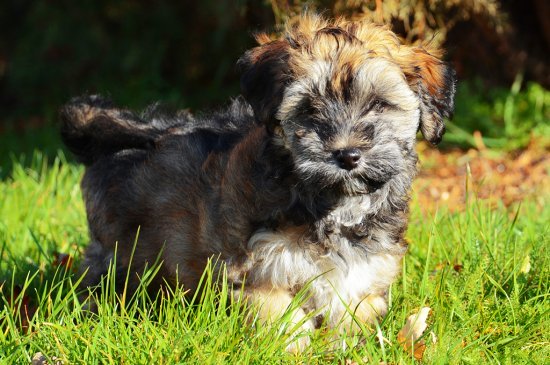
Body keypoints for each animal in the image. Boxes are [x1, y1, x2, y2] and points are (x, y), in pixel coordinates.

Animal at [60, 12, 458, 350]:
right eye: (309, 108)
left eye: (378, 104)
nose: (347, 155)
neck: (335, 206)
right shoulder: (259, 265)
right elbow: (281, 315)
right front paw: (293, 350)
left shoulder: (368, 269)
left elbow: (353, 312)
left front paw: (343, 348)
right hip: (119, 249)